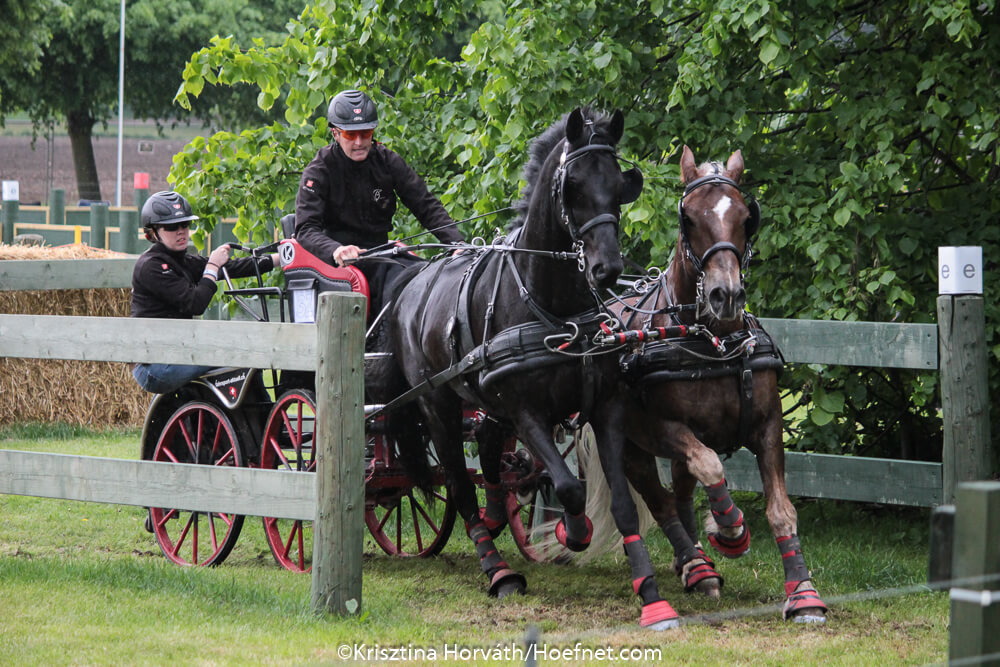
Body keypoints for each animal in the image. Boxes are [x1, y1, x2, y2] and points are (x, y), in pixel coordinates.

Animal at [385, 108, 681, 627]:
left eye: (618, 184)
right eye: (573, 185)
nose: (607, 269)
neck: (553, 304)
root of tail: (414, 278)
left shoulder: (605, 408)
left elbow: (622, 503)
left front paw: (651, 595)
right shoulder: (526, 413)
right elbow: (567, 486)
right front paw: (572, 534)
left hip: (485, 405)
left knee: (489, 457)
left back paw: (496, 522)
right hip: (438, 406)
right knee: (460, 485)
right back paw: (497, 571)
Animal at [576, 145, 827, 623]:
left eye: (747, 217)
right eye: (688, 218)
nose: (725, 295)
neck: (712, 344)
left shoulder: (768, 425)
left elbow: (781, 510)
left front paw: (803, 591)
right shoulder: (664, 429)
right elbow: (711, 466)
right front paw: (729, 530)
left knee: (680, 491)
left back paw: (693, 559)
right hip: (629, 443)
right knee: (660, 498)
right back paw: (696, 565)